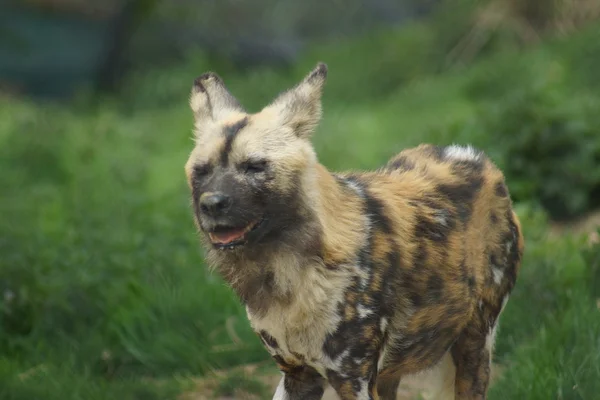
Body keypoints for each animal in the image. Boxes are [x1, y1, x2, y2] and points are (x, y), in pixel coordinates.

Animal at [185, 62, 524, 400]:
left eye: (254, 166)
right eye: (201, 171)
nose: (212, 204)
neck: (290, 269)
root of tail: (473, 155)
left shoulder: (354, 379)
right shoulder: (297, 375)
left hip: (474, 347)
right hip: (392, 372)